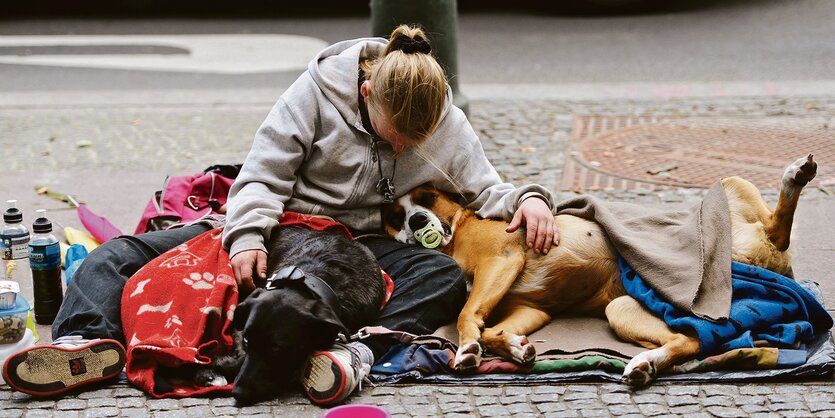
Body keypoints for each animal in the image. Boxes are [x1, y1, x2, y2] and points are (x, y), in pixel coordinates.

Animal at [193, 225, 386, 404]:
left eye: (278, 348)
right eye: (248, 340)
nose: (238, 393)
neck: (310, 282)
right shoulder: (240, 327)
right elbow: (241, 356)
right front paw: (212, 369)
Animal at [382, 154, 820, 386]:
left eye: (427, 198)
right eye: (393, 217)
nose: (416, 221)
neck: (458, 231)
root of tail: (775, 263)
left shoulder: (501, 260)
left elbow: (466, 313)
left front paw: (468, 346)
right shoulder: (529, 309)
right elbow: (493, 327)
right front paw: (514, 347)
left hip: (731, 190)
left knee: (777, 229)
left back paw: (794, 178)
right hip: (622, 309)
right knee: (691, 341)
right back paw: (647, 364)